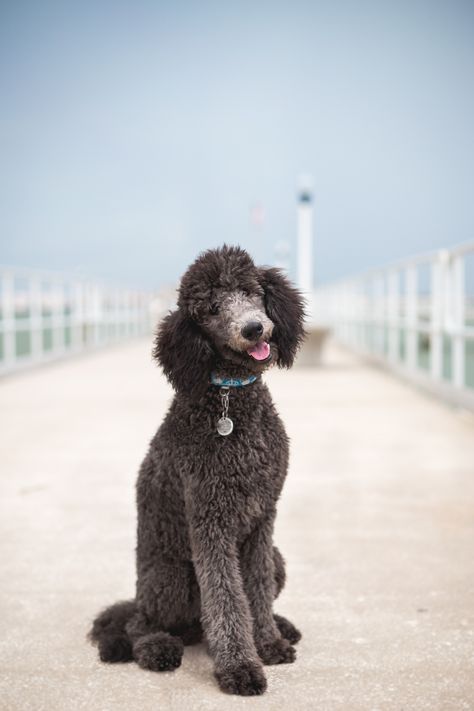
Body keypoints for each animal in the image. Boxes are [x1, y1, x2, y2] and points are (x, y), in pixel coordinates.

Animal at [90, 245, 306, 696]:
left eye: (251, 291)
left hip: (277, 556)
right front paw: (240, 667)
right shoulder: (211, 519)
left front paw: (268, 643)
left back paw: (282, 625)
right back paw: (157, 648)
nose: (254, 328)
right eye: (210, 309)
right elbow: (226, 598)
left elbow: (256, 588)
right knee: (141, 624)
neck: (229, 398)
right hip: (169, 579)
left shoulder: (263, 518)